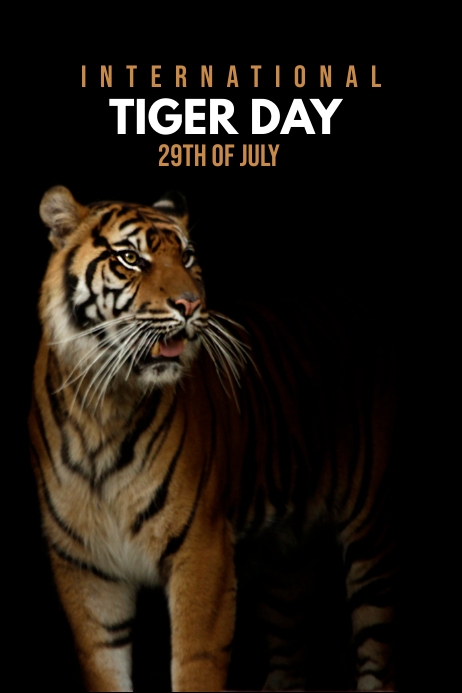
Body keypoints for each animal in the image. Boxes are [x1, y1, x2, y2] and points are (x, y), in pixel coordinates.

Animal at [29, 185, 398, 692]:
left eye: (186, 257)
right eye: (130, 258)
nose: (189, 304)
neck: (105, 407)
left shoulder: (202, 550)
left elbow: (194, 663)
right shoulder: (83, 565)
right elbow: (104, 665)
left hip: (373, 541)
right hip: (284, 560)